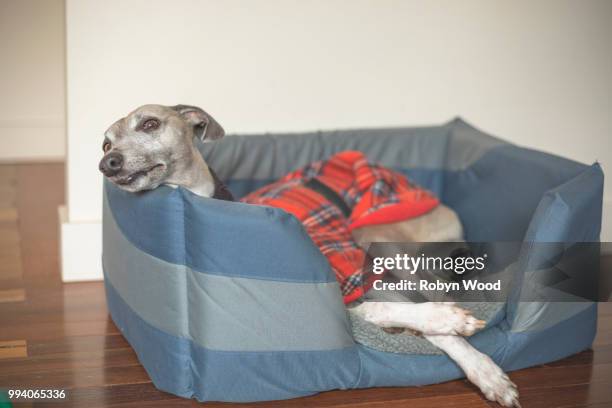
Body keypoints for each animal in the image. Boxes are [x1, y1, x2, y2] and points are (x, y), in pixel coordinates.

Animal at [100, 103, 520, 406]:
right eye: (105, 143)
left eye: (150, 124)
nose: (108, 163)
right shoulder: (362, 294)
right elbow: (406, 318)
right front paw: (452, 333)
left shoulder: (361, 279)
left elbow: (431, 322)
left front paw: (480, 362)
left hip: (378, 237)